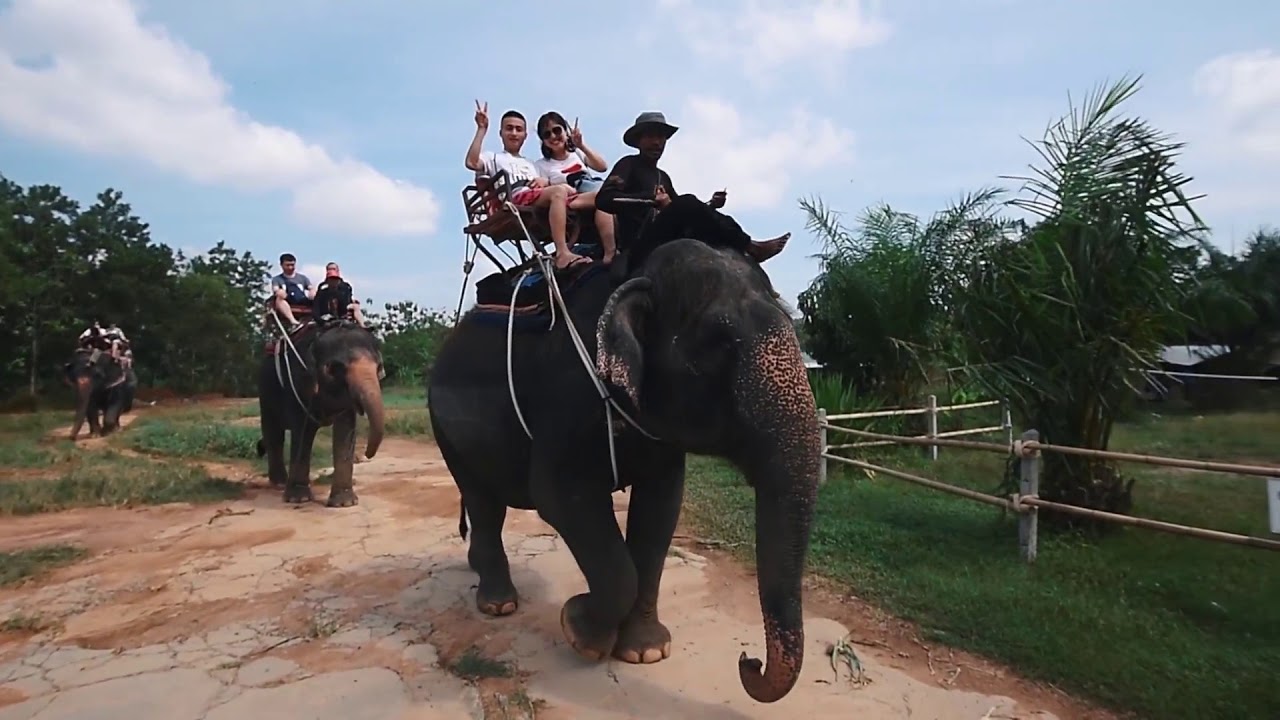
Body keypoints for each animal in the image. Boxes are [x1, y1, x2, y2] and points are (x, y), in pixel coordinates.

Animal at [257, 318, 385, 507]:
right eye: (334, 368)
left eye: (379, 367)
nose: (366, 455)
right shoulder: (297, 385)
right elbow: (303, 433)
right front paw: (298, 499)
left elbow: (345, 430)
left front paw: (344, 503)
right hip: (265, 393)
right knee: (274, 434)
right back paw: (279, 482)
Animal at [427, 237, 820, 703]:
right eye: (720, 344)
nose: (748, 660)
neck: (639, 270)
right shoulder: (565, 396)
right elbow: (560, 499)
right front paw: (580, 630)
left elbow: (660, 509)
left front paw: (645, 652)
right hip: (443, 428)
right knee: (483, 502)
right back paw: (498, 605)